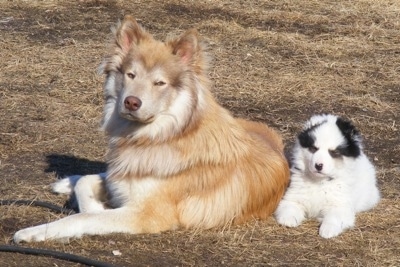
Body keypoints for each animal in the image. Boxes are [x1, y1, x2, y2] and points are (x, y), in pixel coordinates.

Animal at [13, 15, 288, 244]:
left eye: (160, 83)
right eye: (130, 75)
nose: (131, 102)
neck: (158, 136)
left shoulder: (147, 215)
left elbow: (83, 216)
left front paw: (36, 231)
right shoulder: (129, 172)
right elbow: (88, 182)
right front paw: (92, 199)